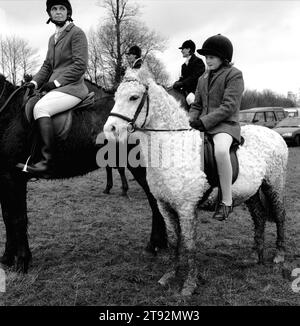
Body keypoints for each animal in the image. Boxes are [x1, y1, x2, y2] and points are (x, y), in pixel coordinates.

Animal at [0, 76, 168, 272]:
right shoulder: (4, 179)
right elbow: (8, 218)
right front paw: (6, 258)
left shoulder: (14, 178)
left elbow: (18, 219)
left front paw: (22, 261)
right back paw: (161, 243)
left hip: (140, 167)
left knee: (154, 201)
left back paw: (154, 244)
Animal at [105, 67, 288, 296]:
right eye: (115, 98)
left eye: (133, 97)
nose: (109, 129)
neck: (173, 146)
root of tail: (275, 134)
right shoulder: (165, 206)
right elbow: (174, 241)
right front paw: (168, 277)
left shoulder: (186, 208)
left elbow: (190, 245)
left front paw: (189, 286)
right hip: (252, 192)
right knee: (260, 218)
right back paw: (255, 256)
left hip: (274, 185)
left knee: (280, 216)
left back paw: (279, 256)